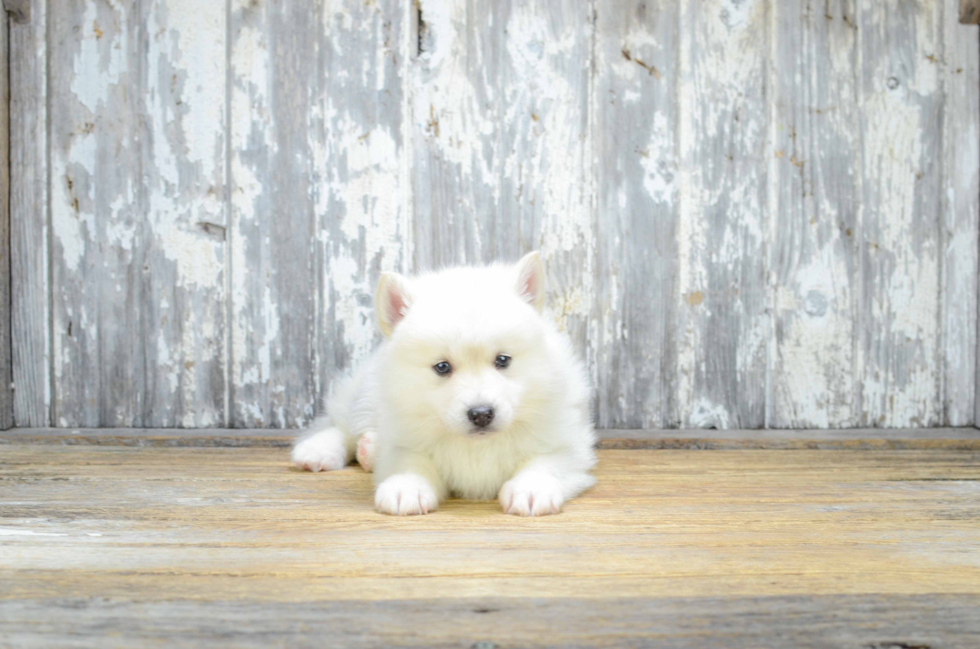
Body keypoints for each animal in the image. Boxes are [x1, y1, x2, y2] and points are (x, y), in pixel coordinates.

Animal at [290, 252, 596, 516]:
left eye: (503, 360)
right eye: (442, 367)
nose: (481, 414)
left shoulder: (566, 442)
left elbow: (545, 463)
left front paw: (531, 490)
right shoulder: (404, 441)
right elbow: (412, 463)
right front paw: (407, 487)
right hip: (367, 391)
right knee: (342, 423)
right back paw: (320, 450)